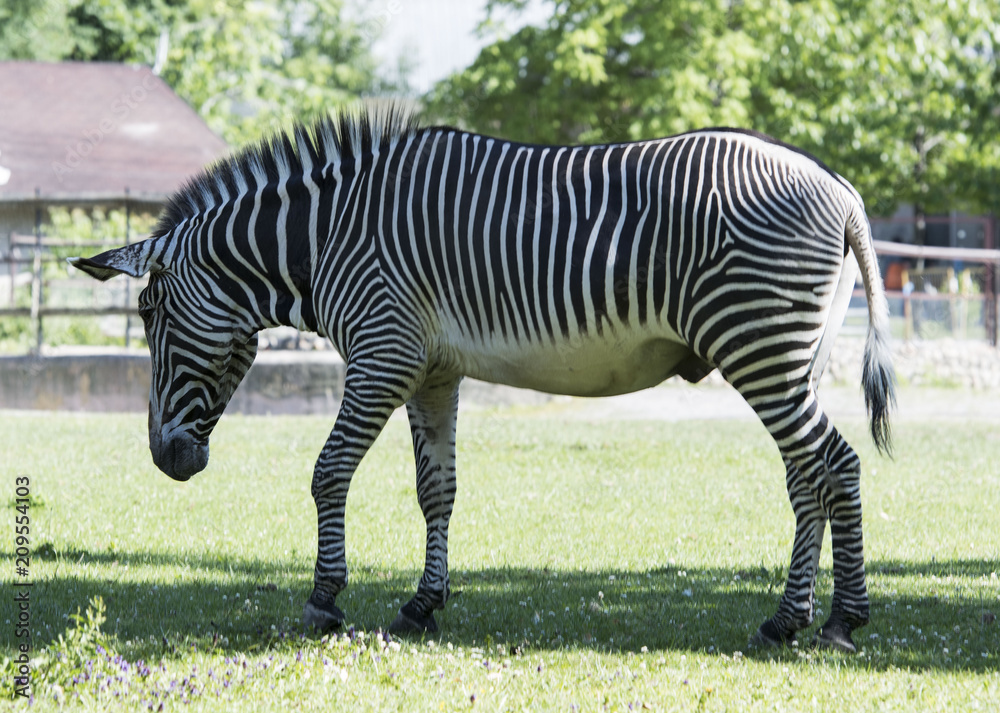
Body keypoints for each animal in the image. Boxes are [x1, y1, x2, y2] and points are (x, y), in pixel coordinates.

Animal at [71, 106, 895, 653]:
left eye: (147, 313)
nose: (167, 460)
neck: (327, 238)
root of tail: (842, 188)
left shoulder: (381, 354)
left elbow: (328, 471)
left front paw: (324, 598)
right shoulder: (431, 369)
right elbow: (437, 488)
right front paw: (420, 605)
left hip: (759, 344)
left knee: (837, 463)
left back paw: (841, 619)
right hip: (786, 356)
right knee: (806, 475)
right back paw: (787, 619)